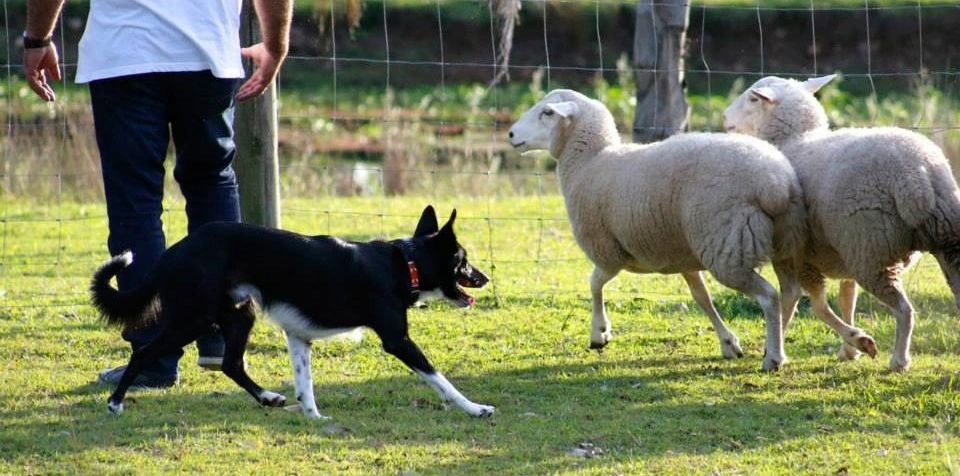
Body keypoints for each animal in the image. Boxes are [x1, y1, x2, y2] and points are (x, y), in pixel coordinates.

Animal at [510, 90, 816, 372]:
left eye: (547, 112)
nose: (511, 134)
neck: (591, 161)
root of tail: (777, 183)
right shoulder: (682, 254)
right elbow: (701, 297)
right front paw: (728, 342)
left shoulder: (609, 251)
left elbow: (594, 283)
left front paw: (599, 333)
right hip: (784, 242)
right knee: (790, 292)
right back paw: (775, 344)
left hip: (727, 247)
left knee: (769, 296)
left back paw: (773, 357)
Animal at [724, 75, 960, 372]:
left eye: (753, 98)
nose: (724, 119)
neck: (795, 139)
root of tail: (918, 173)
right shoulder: (840, 255)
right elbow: (846, 300)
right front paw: (849, 350)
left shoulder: (797, 255)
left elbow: (808, 303)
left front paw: (776, 347)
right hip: (941, 240)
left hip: (871, 248)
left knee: (904, 309)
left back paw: (899, 360)